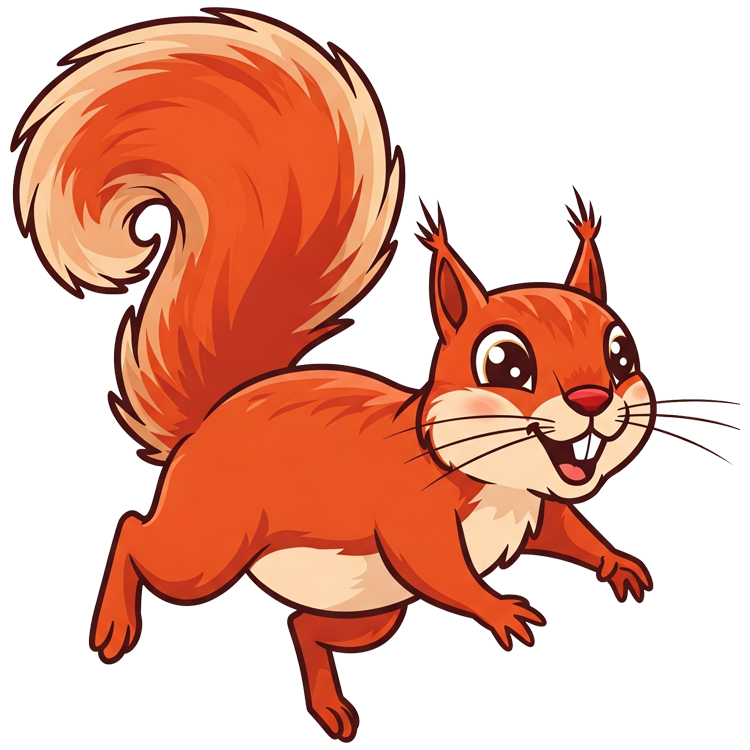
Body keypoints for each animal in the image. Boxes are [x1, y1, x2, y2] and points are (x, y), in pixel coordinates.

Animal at [13, 10, 665, 742]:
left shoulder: (537, 510)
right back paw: (114, 627)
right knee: (134, 535)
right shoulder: (414, 518)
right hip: (211, 546)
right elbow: (443, 571)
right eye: (503, 363)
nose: (593, 398)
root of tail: (209, 422)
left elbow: (570, 533)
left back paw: (330, 709)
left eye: (621, 353)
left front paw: (619, 565)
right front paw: (501, 609)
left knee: (305, 629)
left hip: (374, 610)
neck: (498, 480)